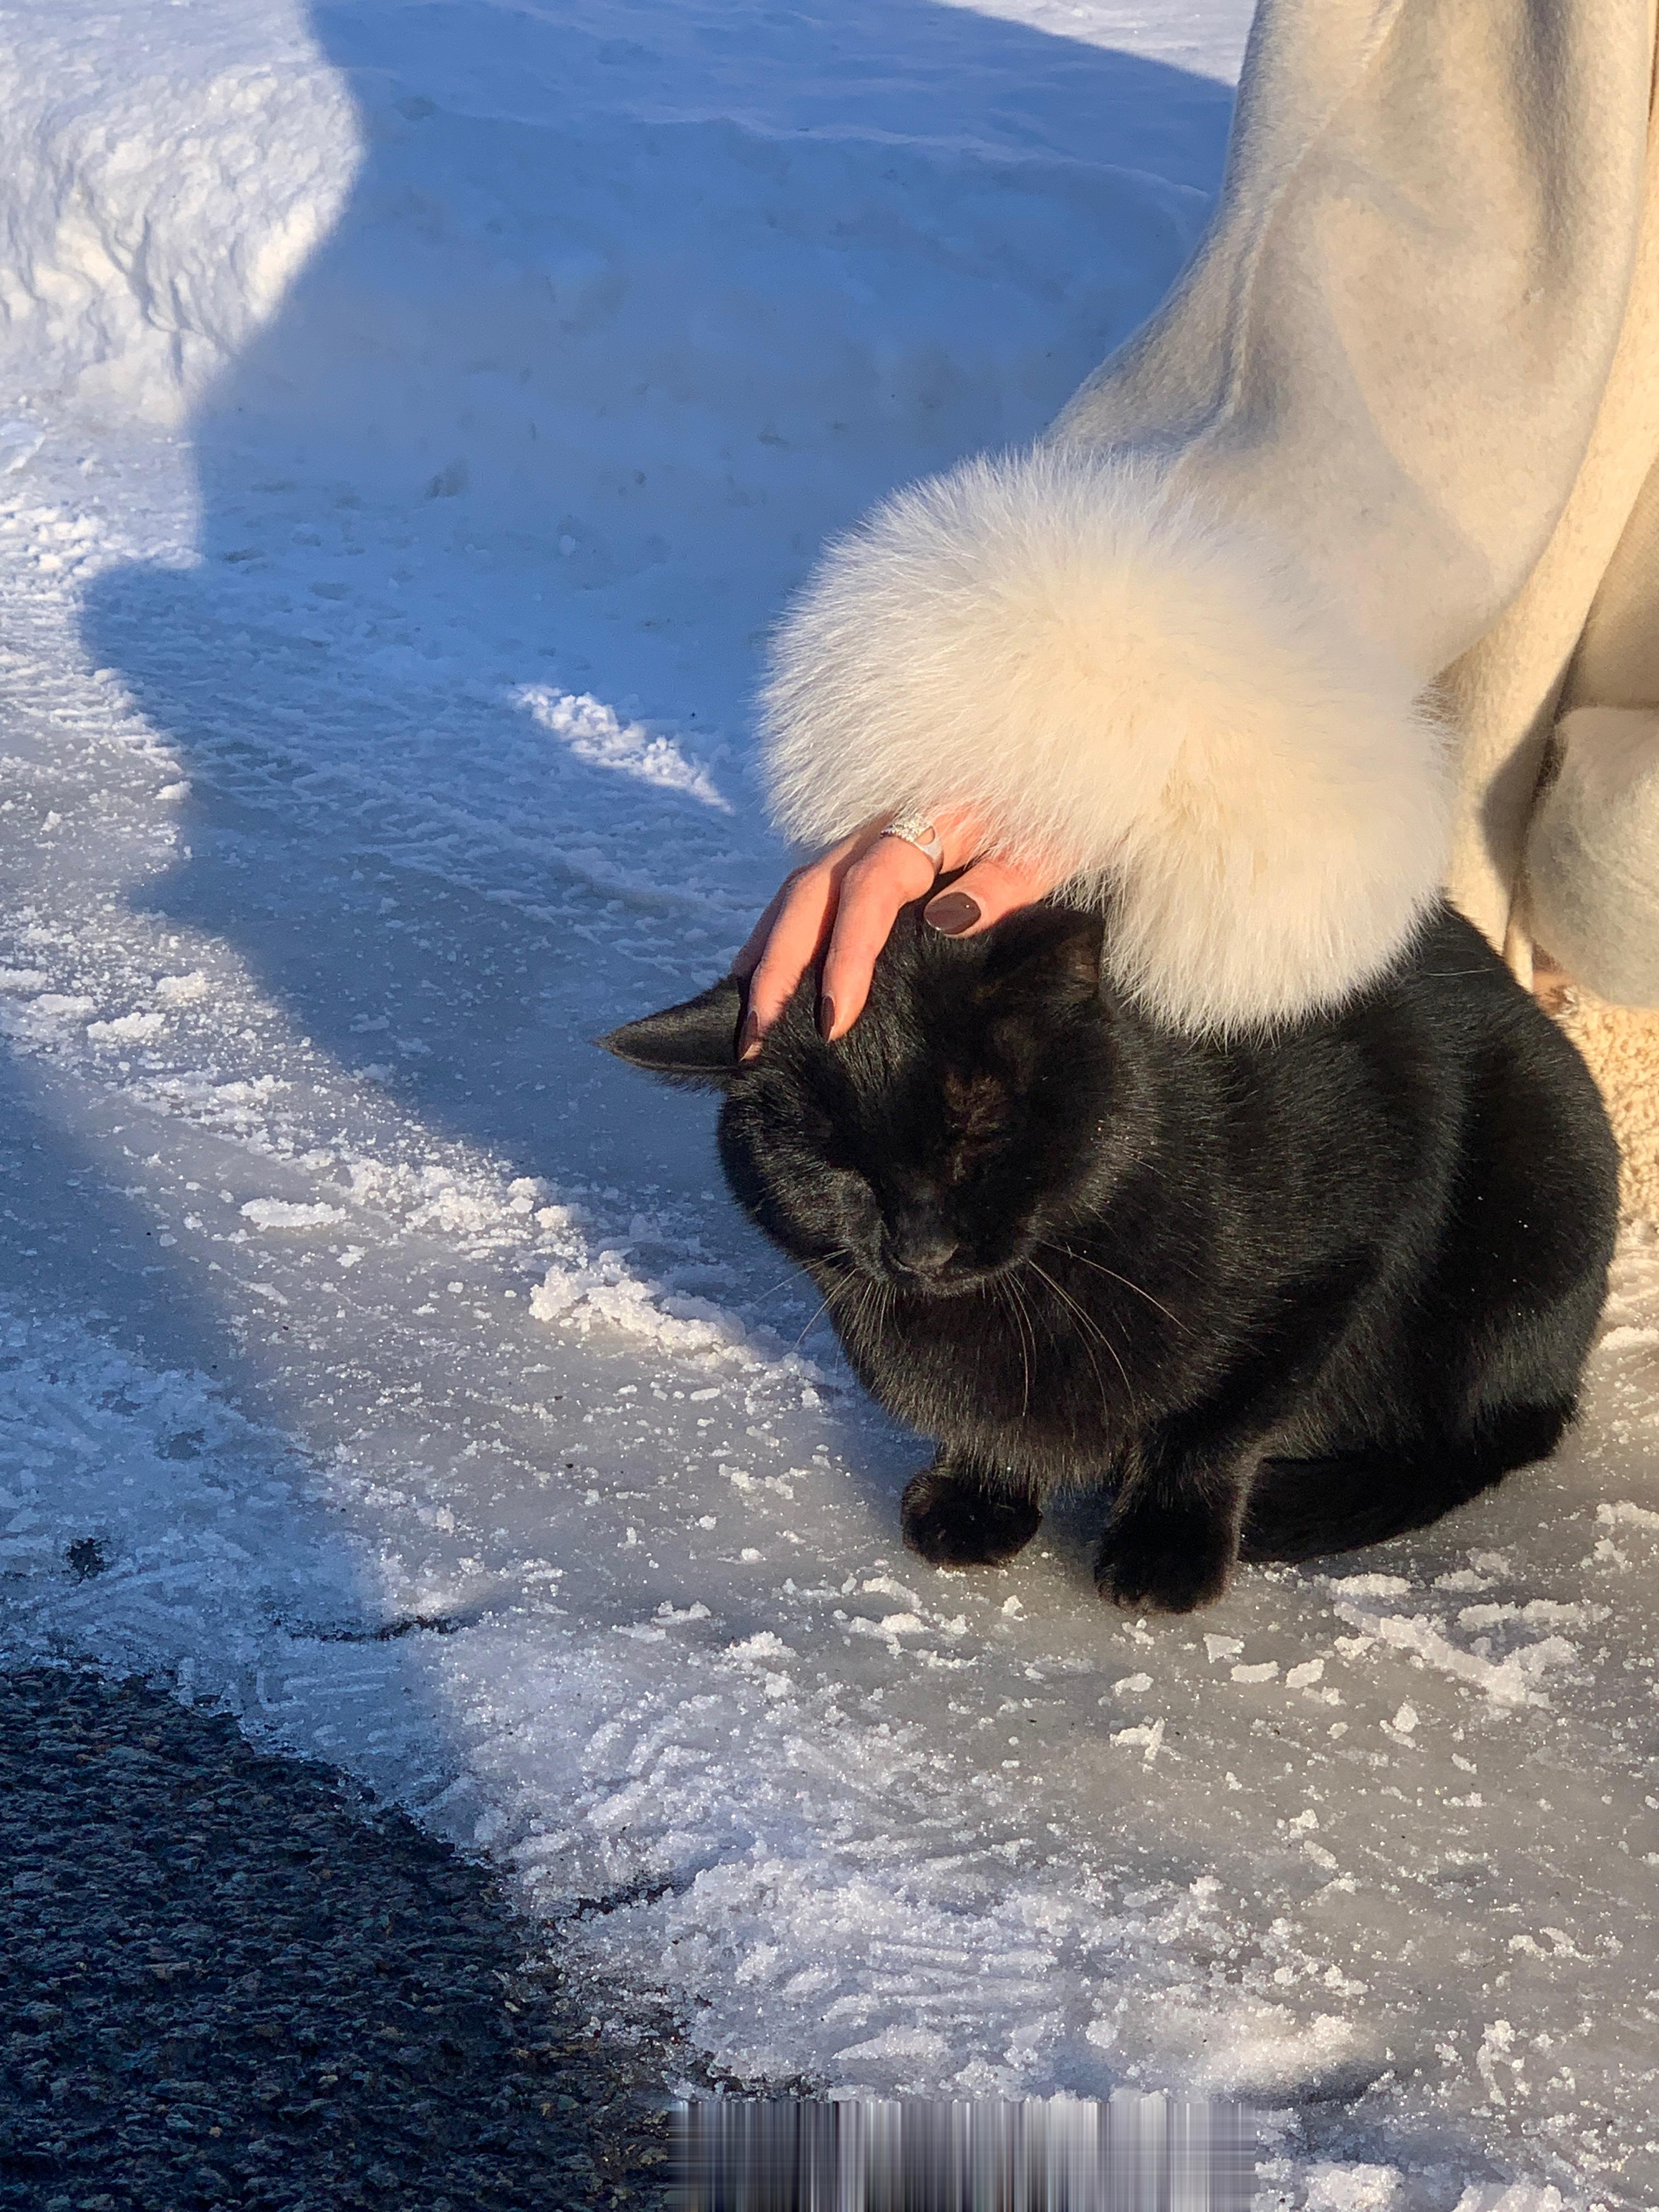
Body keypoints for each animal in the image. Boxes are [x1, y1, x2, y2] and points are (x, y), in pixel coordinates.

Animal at [601, 898, 1628, 1610]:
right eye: (831, 1161)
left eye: (979, 1129)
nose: (919, 1245)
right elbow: (992, 1420)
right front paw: (977, 1495)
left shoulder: (1336, 1260)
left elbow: (1213, 1424)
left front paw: (1163, 1549)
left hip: (1539, 1190)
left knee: (1486, 1430)